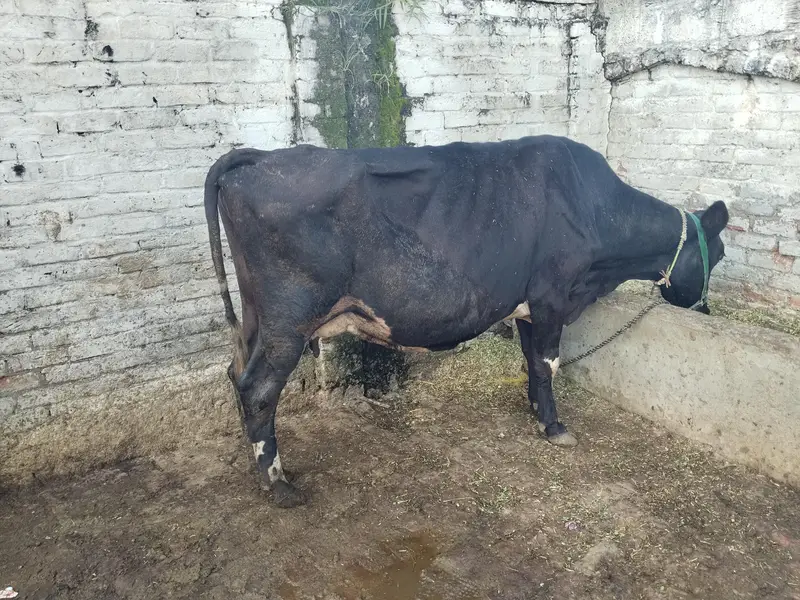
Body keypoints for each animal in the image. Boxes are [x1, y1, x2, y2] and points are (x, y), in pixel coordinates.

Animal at [204, 135, 728, 507]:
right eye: (720, 254)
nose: (706, 310)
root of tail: (257, 158)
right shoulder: (553, 296)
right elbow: (550, 364)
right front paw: (555, 427)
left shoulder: (527, 304)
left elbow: (532, 362)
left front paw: (535, 411)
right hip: (288, 318)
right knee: (258, 388)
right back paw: (278, 485)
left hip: (256, 317)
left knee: (237, 371)